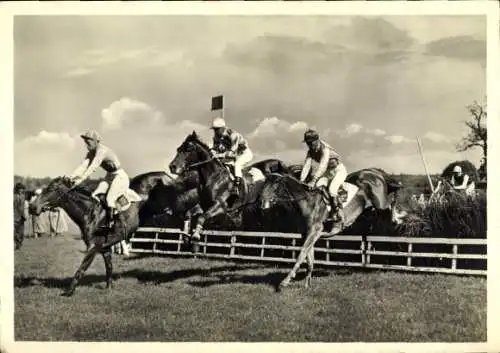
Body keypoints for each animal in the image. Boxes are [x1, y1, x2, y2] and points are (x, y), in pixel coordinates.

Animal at [29, 170, 168, 294]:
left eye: (51, 188)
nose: (32, 207)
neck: (90, 213)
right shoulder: (105, 248)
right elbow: (109, 268)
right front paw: (108, 288)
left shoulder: (93, 247)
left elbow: (82, 268)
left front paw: (69, 291)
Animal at [258, 169, 402, 290]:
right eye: (264, 184)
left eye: (276, 185)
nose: (261, 202)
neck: (308, 202)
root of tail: (375, 173)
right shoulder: (308, 234)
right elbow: (309, 259)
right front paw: (307, 284)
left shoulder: (314, 232)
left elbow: (301, 254)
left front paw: (285, 281)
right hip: (372, 208)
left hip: (380, 203)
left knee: (391, 202)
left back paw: (397, 218)